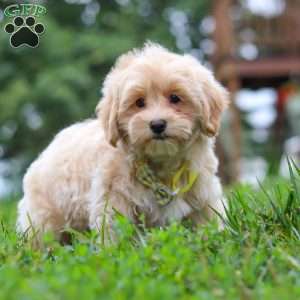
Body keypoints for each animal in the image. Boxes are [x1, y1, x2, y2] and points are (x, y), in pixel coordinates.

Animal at [17, 42, 229, 244]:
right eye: (139, 102)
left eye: (175, 98)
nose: (157, 124)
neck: (161, 162)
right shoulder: (112, 198)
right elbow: (114, 232)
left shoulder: (203, 192)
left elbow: (207, 220)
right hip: (44, 218)